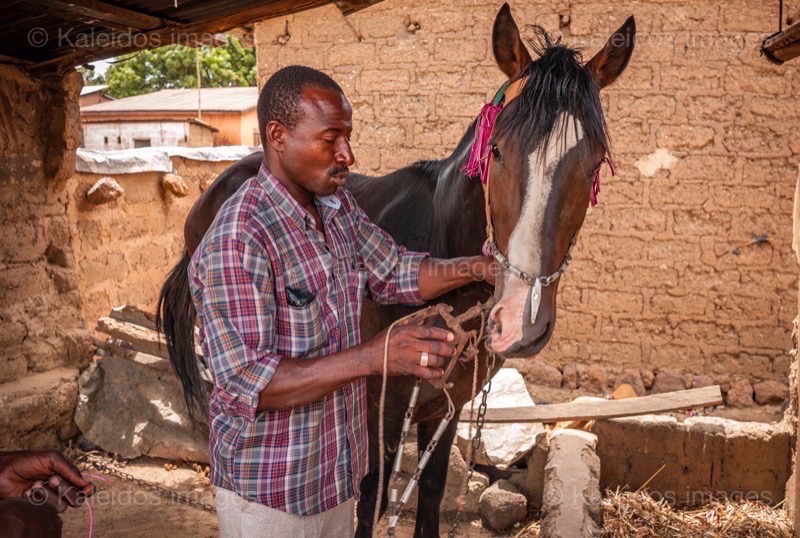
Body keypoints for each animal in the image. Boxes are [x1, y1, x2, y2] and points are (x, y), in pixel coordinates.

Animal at [155, 5, 632, 536]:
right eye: (497, 151)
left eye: (594, 164)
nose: (519, 323)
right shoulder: (376, 411)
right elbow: (369, 500)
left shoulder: (446, 406)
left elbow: (431, 491)